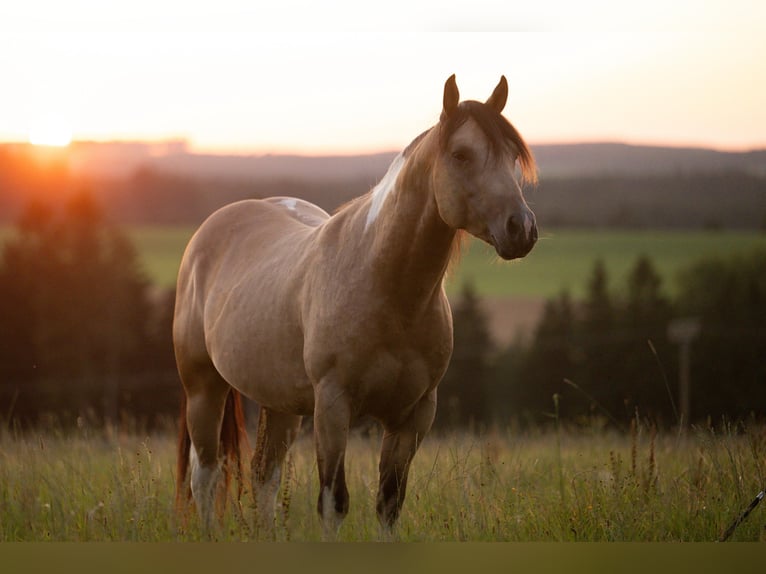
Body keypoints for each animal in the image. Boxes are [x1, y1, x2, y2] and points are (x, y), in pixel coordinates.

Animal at [174, 74, 538, 536]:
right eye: (461, 154)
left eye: (513, 156)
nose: (521, 229)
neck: (386, 289)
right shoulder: (333, 407)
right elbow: (334, 502)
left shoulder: (413, 415)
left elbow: (389, 503)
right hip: (203, 388)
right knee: (206, 476)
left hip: (280, 403)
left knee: (263, 476)